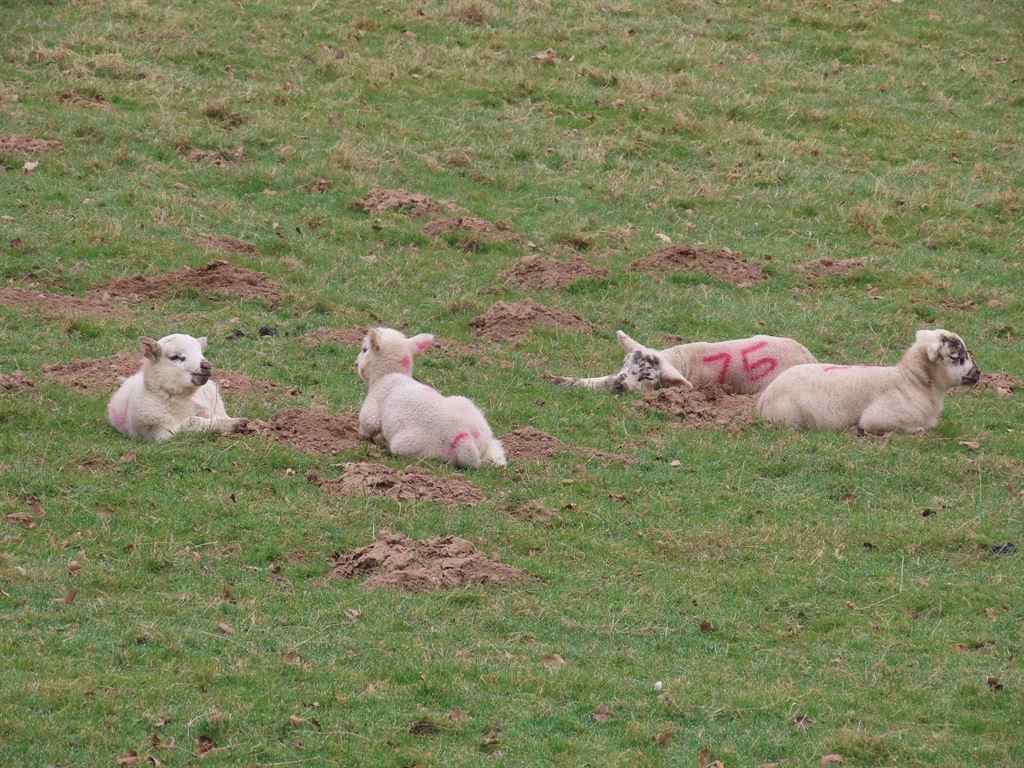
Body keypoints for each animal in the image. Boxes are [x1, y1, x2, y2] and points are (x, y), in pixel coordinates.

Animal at [107, 334, 247, 442]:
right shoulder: (162, 432)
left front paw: (236, 423)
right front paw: (233, 425)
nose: (206, 366)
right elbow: (191, 421)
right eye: (175, 357)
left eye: (201, 353)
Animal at [356, 327, 506, 468]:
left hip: (410, 445)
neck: (388, 374)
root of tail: (467, 439)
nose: (356, 363)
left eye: (364, 349)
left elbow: (367, 425)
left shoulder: (371, 410)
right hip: (467, 405)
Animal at [757, 329, 981, 434]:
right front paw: (917, 430)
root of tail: (764, 397)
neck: (910, 381)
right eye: (955, 356)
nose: (978, 372)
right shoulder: (878, 419)